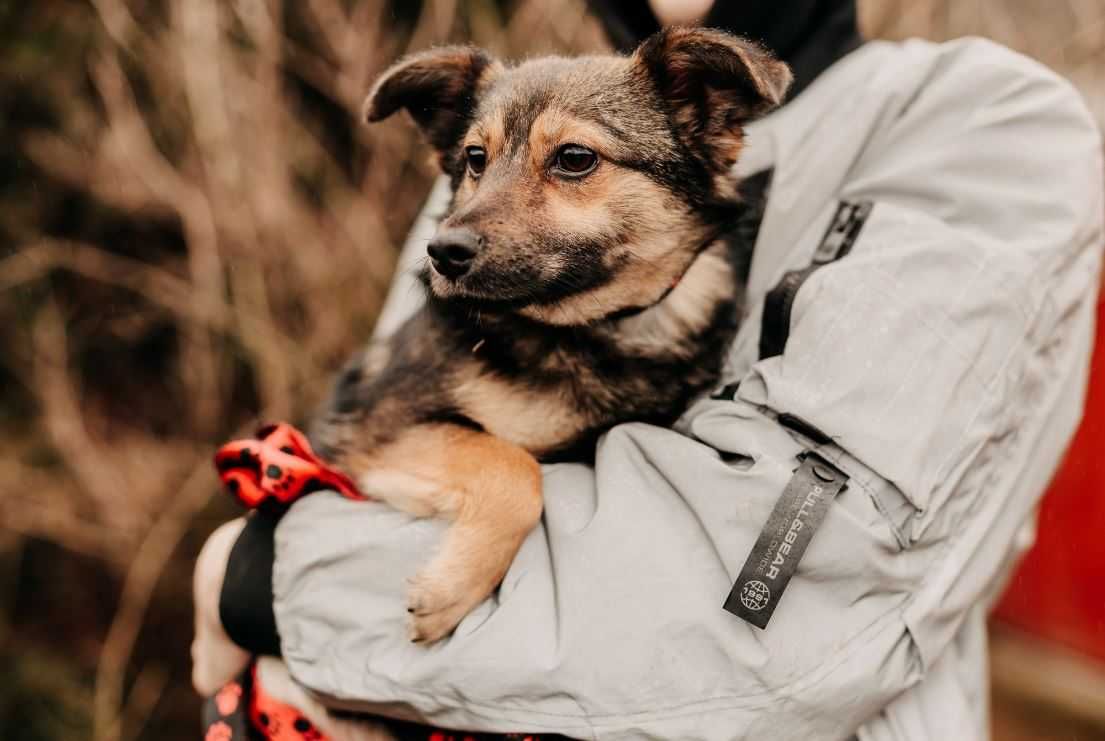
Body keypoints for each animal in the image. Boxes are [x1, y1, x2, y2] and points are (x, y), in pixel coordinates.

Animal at [307, 28, 791, 644]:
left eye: (575, 159)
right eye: (475, 158)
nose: (442, 251)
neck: (588, 329)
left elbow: (517, 467)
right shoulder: (376, 424)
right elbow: (515, 466)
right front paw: (453, 587)